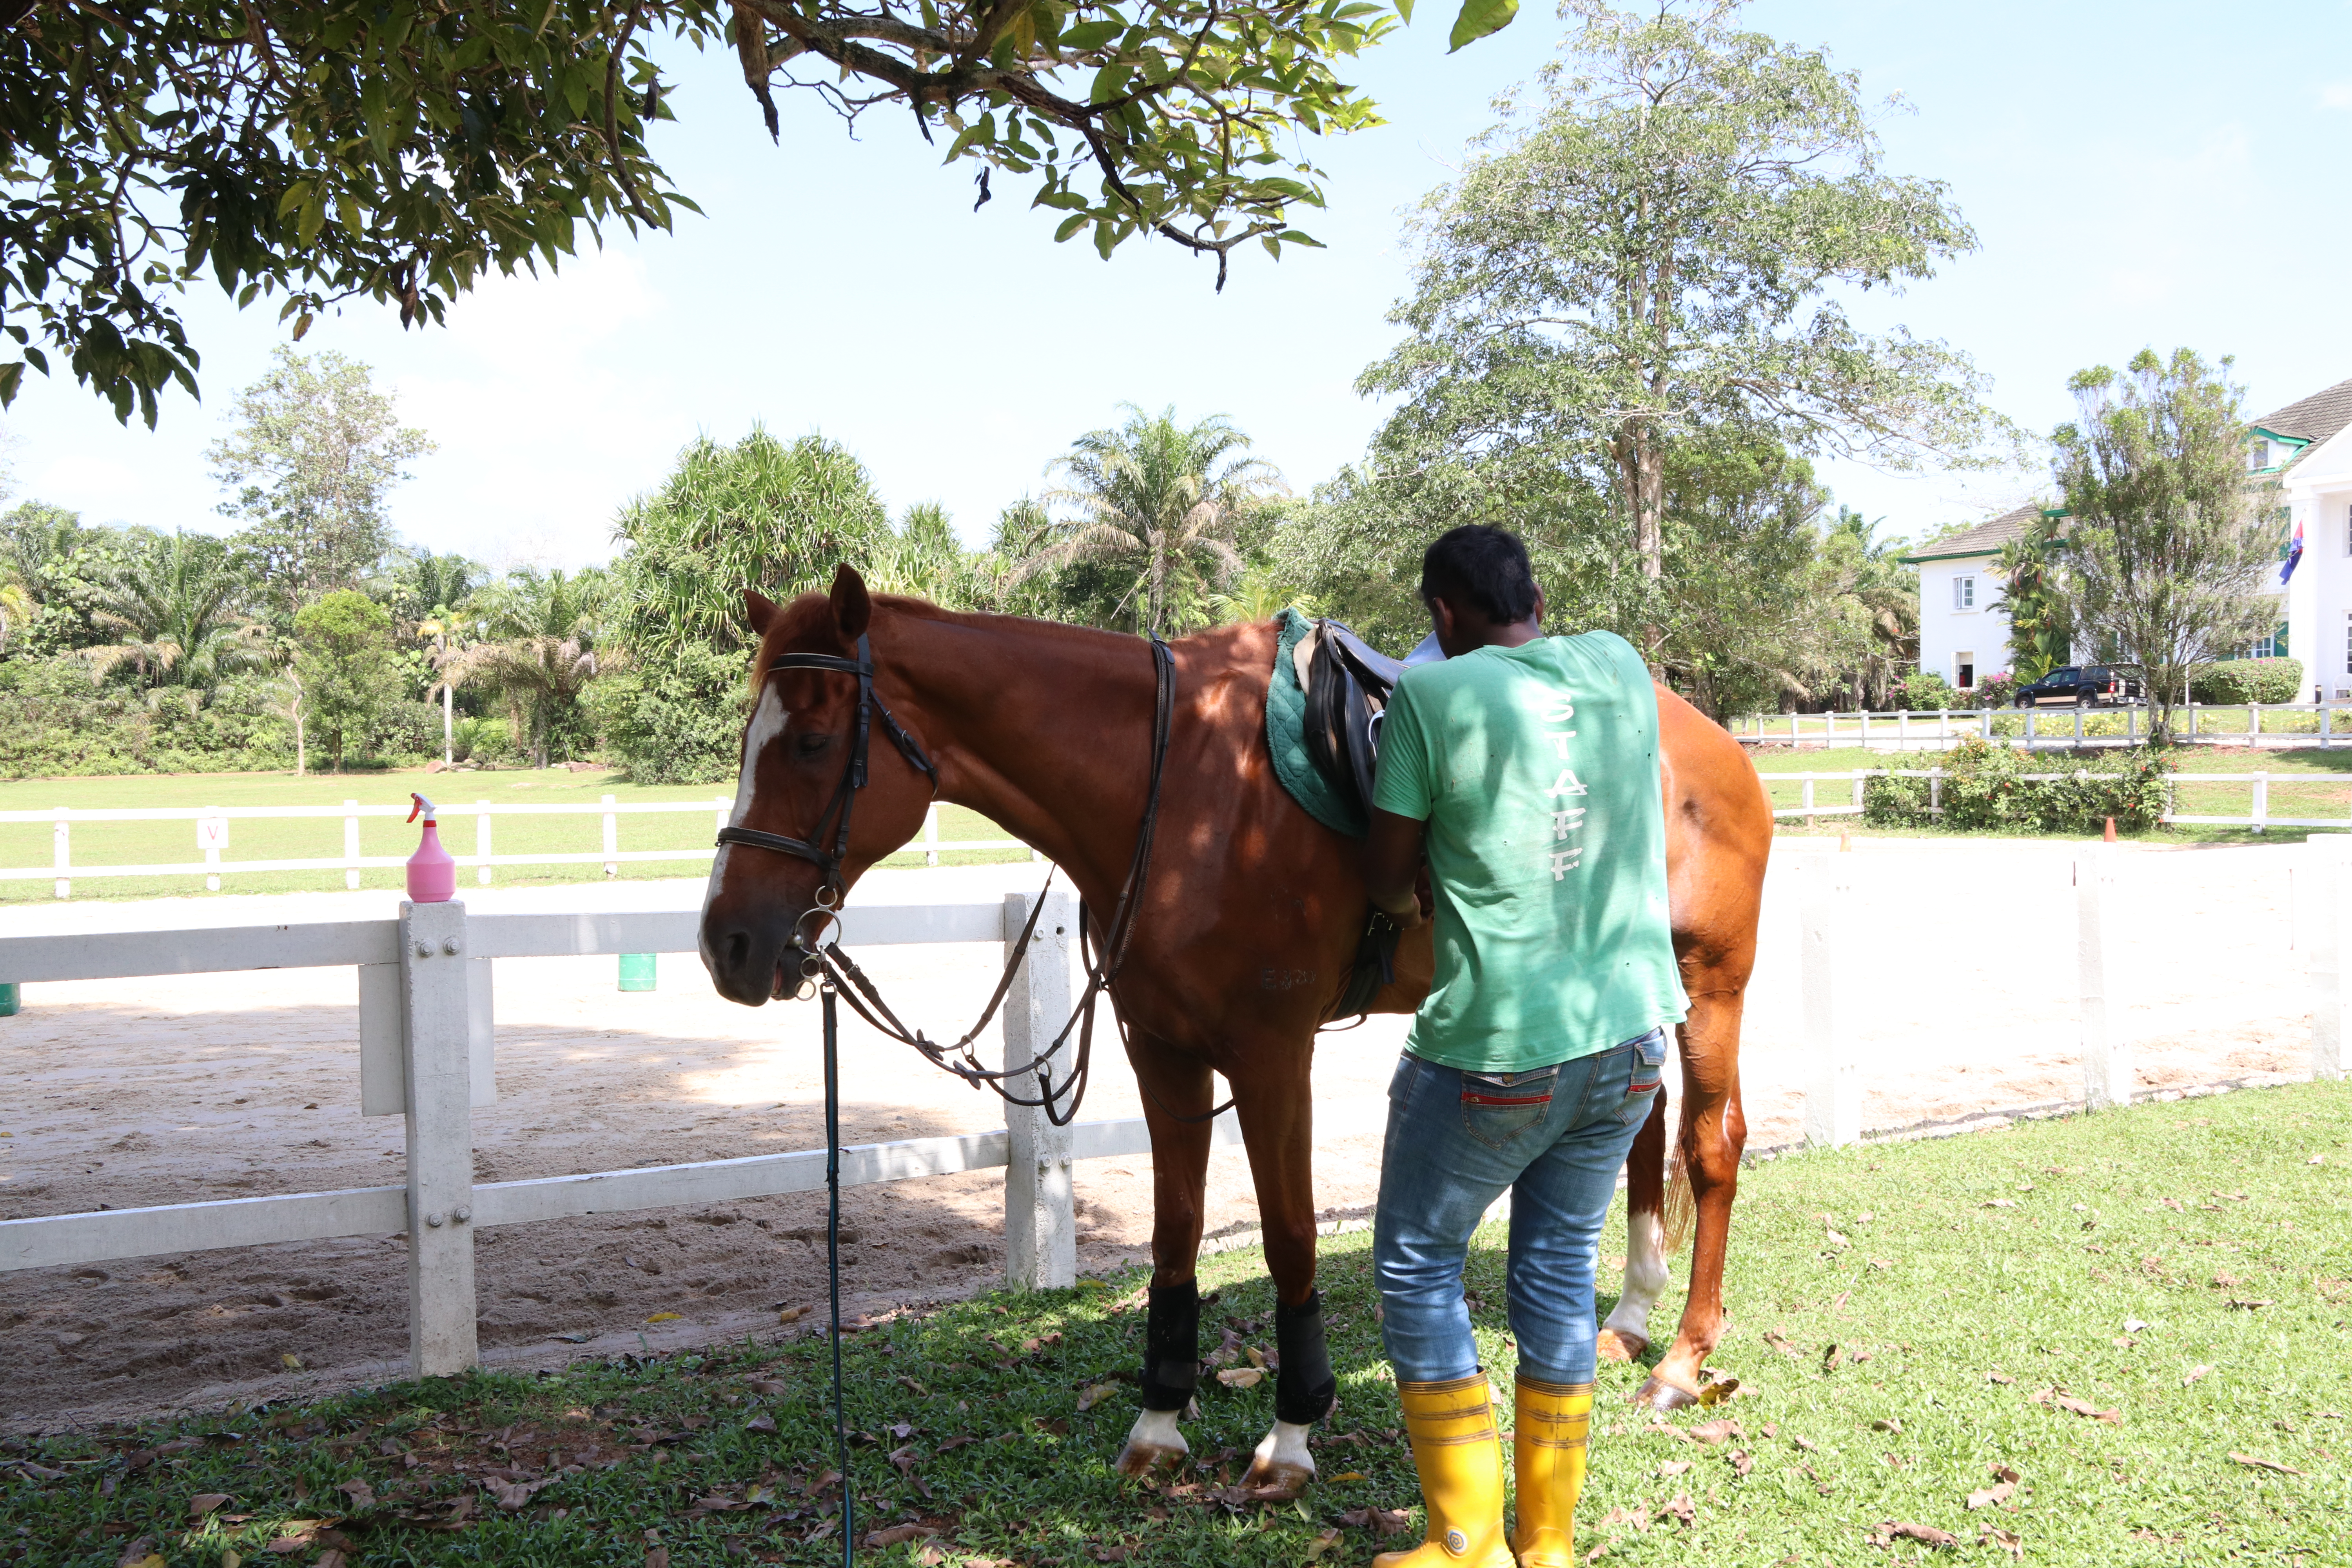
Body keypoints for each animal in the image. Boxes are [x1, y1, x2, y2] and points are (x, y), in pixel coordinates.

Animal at [698, 566, 1772, 1496]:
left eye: (811, 742)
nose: (727, 943)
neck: (1176, 791)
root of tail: (1716, 745)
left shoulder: (1271, 1058)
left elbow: (1289, 1236)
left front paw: (1292, 1432)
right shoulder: (1161, 1050)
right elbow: (1174, 1235)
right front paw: (1159, 1420)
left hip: (1711, 981)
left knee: (1710, 1145)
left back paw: (1682, 1358)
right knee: (1642, 1130)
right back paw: (1628, 1314)